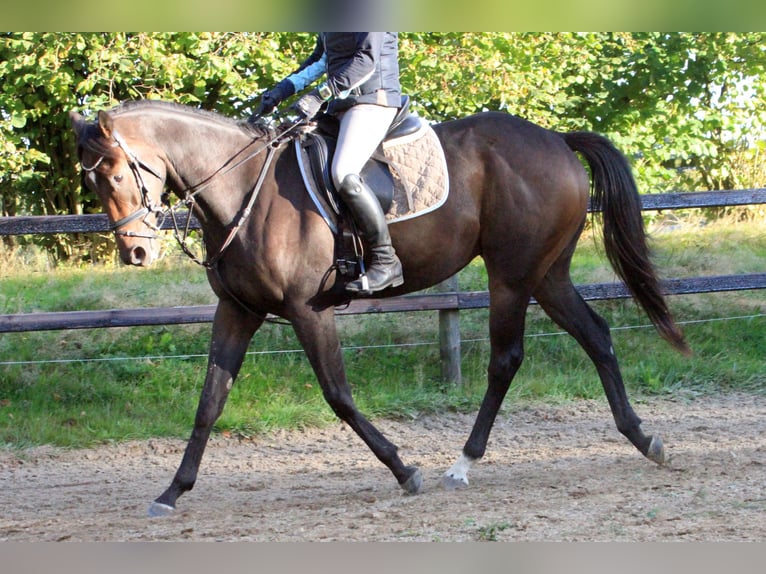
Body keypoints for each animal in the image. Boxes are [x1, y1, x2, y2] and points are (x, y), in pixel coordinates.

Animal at [70, 101, 688, 520]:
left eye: (118, 173)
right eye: (93, 182)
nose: (136, 253)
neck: (246, 190)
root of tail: (556, 140)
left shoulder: (307, 310)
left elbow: (338, 396)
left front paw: (404, 469)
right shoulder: (238, 311)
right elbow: (209, 402)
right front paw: (171, 492)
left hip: (512, 275)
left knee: (506, 359)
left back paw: (463, 463)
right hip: (547, 274)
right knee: (596, 335)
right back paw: (643, 438)